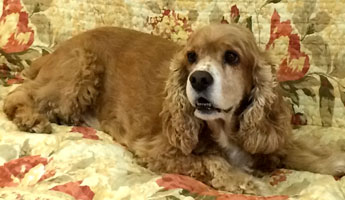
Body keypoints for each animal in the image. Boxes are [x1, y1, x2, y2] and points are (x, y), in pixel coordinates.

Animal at [3, 23, 344, 195]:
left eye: (232, 57)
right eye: (191, 56)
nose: (199, 78)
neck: (225, 128)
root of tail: (54, 52)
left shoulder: (266, 138)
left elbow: (299, 149)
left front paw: (333, 159)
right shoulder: (157, 151)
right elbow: (210, 159)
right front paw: (243, 180)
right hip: (78, 73)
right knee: (18, 94)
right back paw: (31, 119)